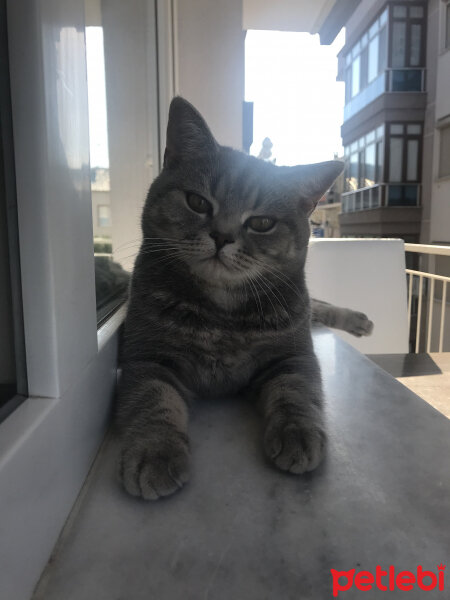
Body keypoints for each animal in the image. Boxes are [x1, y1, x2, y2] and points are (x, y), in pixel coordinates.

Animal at [116, 99, 372, 502]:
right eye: (197, 202)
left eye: (262, 223)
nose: (222, 236)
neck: (222, 315)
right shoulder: (147, 358)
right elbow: (153, 401)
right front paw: (154, 453)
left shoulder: (293, 355)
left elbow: (295, 391)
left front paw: (298, 433)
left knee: (318, 305)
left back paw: (358, 319)